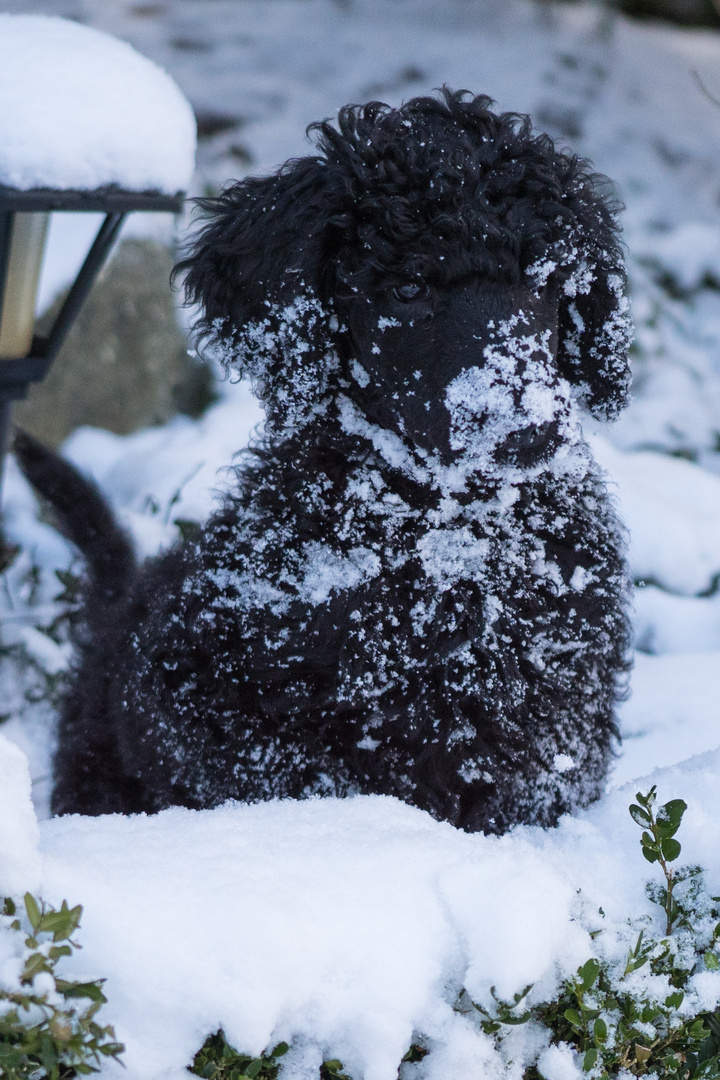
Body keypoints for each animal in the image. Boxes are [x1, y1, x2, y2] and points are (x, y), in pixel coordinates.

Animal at [14, 90, 630, 833]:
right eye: (408, 291)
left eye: (545, 284)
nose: (529, 432)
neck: (444, 536)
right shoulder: (207, 703)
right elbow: (310, 782)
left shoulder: (556, 724)